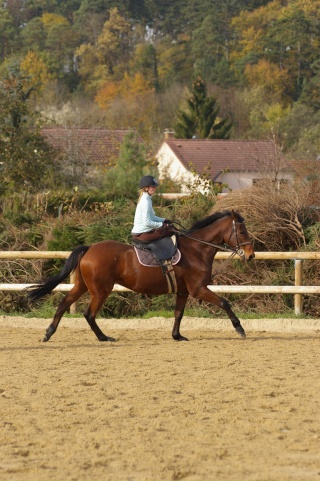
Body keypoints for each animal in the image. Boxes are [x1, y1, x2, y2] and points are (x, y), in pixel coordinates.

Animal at [27, 210, 255, 342]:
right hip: (101, 290)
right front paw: (240, 329)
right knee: (89, 313)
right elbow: (224, 302)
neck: (197, 249)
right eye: (242, 231)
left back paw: (48, 333)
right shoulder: (198, 289)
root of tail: (90, 248)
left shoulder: (183, 291)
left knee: (64, 303)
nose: (251, 255)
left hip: (83, 286)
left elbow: (178, 314)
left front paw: (177, 336)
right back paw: (103, 337)